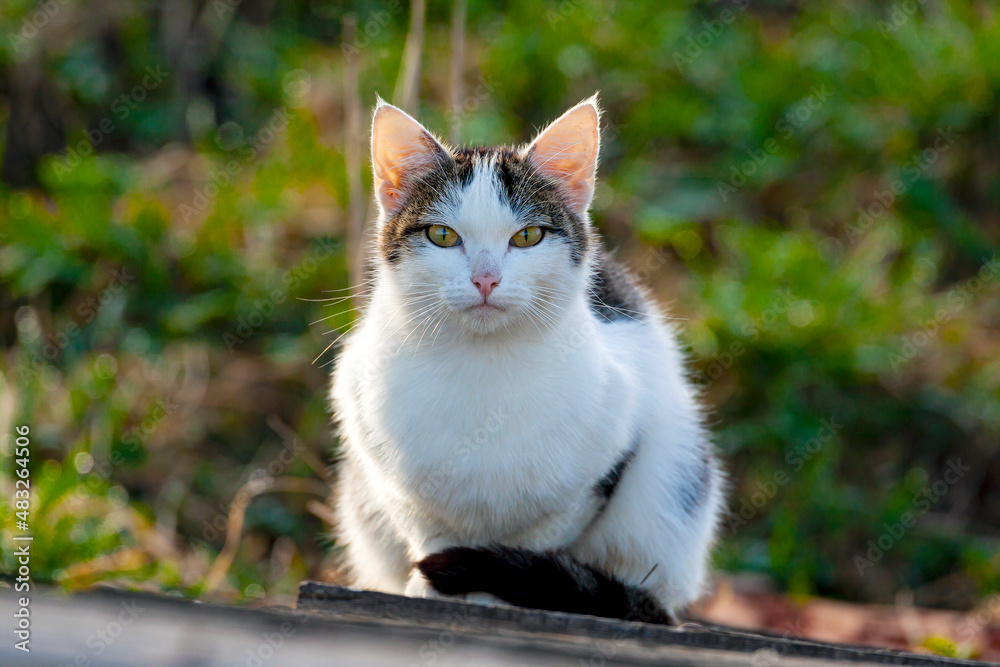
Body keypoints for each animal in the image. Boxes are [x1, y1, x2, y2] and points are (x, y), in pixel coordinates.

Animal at [332, 96, 724, 624]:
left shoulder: (613, 450)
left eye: (528, 236)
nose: (486, 279)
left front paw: (492, 585)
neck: (482, 368)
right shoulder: (385, 465)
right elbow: (426, 529)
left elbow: (539, 539)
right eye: (442, 235)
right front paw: (430, 586)